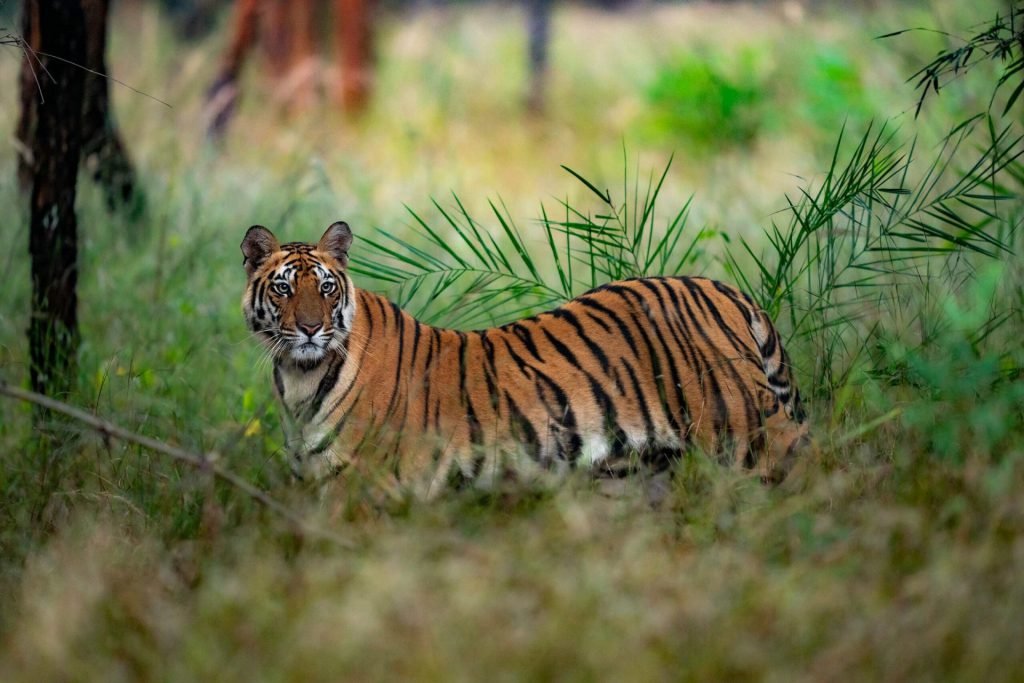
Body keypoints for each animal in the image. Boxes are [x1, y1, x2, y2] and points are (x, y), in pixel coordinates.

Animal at [239, 222, 806, 499]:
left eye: (326, 288)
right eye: (284, 288)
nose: (310, 328)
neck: (299, 380)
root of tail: (723, 288)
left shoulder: (363, 487)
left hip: (744, 435)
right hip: (641, 468)